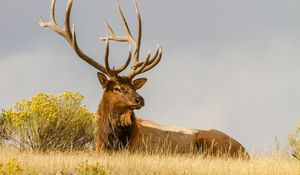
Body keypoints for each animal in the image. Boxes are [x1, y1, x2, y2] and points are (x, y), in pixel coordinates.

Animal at [40, 0, 248, 158]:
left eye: (134, 86)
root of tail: (245, 151)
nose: (139, 99)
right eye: (116, 88)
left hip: (211, 140)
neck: (111, 143)